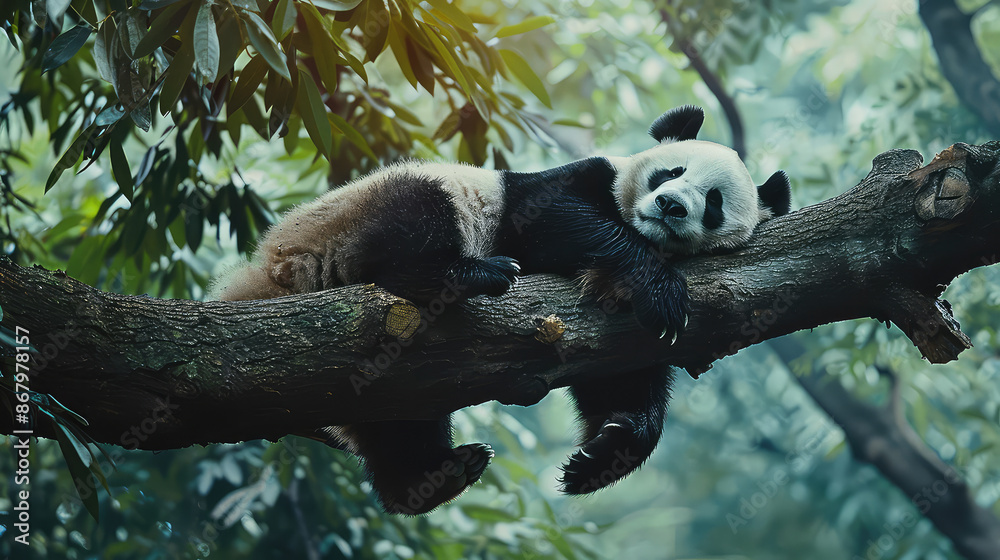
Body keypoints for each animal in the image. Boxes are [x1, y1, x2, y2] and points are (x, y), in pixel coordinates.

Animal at [214, 105, 791, 514]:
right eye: (669, 172)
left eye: (713, 203)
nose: (671, 206)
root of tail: (267, 272)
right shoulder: (572, 182)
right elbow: (549, 217)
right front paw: (661, 288)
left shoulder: (627, 337)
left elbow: (623, 382)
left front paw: (601, 455)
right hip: (347, 221)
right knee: (413, 218)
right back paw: (467, 276)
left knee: (399, 423)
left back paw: (431, 478)